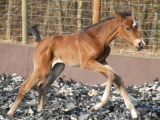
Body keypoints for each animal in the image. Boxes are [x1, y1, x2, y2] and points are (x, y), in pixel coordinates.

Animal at [7, 9, 145, 119]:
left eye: (136, 26)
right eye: (127, 28)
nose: (141, 44)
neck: (97, 38)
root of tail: (40, 42)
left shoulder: (102, 61)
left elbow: (118, 77)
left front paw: (134, 113)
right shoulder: (87, 63)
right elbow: (111, 75)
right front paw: (96, 106)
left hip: (57, 68)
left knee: (42, 87)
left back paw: (40, 111)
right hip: (42, 69)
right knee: (24, 86)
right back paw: (10, 113)